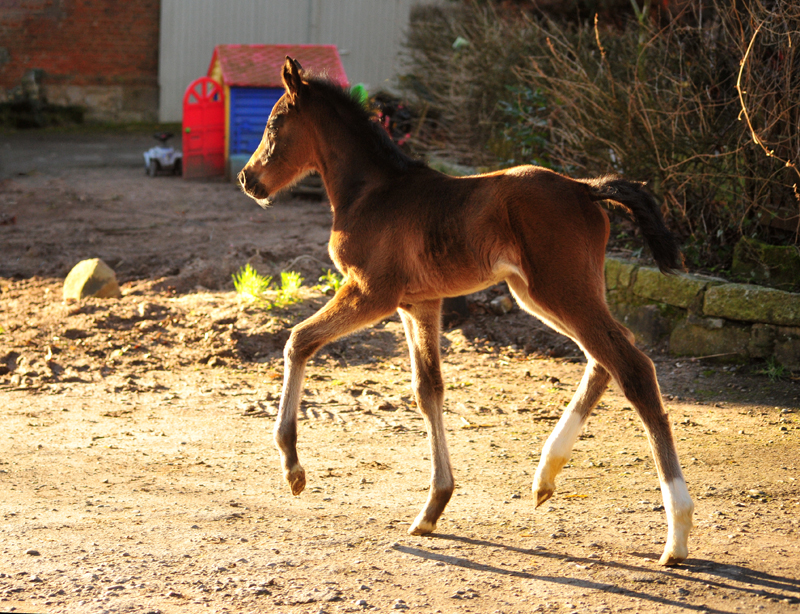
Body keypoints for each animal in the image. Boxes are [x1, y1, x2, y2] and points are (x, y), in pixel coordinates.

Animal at [238, 57, 692, 568]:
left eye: (274, 123)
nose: (248, 179)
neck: (372, 191)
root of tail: (583, 188)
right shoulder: (418, 303)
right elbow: (428, 390)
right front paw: (433, 507)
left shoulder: (371, 293)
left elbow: (298, 340)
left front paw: (292, 466)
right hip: (537, 293)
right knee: (606, 357)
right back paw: (547, 474)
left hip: (560, 289)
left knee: (631, 366)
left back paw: (677, 534)